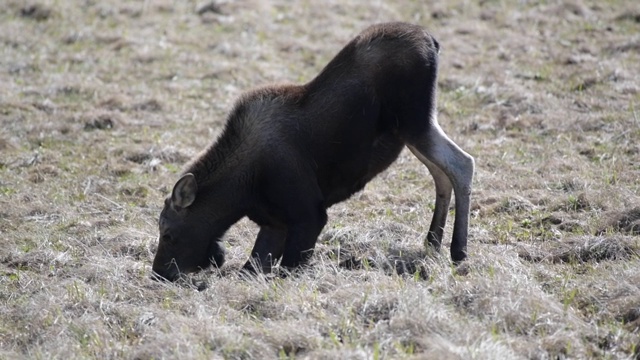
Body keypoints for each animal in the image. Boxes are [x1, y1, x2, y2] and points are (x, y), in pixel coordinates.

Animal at [152, 21, 476, 282]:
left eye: (168, 233)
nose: (158, 273)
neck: (240, 192)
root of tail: (432, 40)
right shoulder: (275, 223)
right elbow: (252, 268)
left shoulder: (309, 215)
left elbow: (288, 269)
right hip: (411, 130)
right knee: (441, 172)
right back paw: (432, 242)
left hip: (414, 122)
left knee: (462, 163)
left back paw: (458, 250)